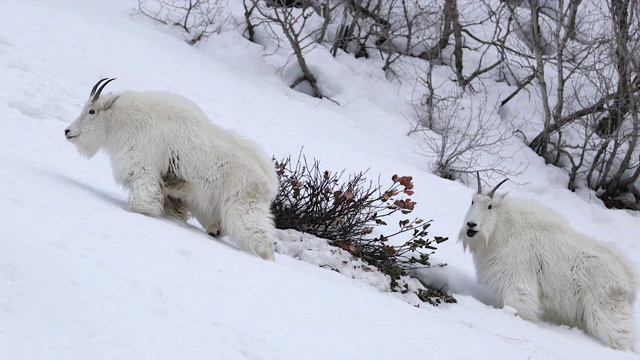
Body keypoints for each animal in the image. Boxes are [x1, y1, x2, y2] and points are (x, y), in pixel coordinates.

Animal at [64, 77, 280, 260]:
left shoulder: (144, 167)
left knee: (261, 239)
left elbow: (143, 198)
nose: (68, 131)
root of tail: (269, 181)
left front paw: (138, 212)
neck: (126, 122)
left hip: (241, 206)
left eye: (92, 111)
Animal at [458, 176, 636, 350]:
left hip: (605, 310)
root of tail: (629, 279)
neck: (502, 231)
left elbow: (519, 307)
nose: (471, 225)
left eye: (490, 206)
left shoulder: (518, 280)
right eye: (472, 201)